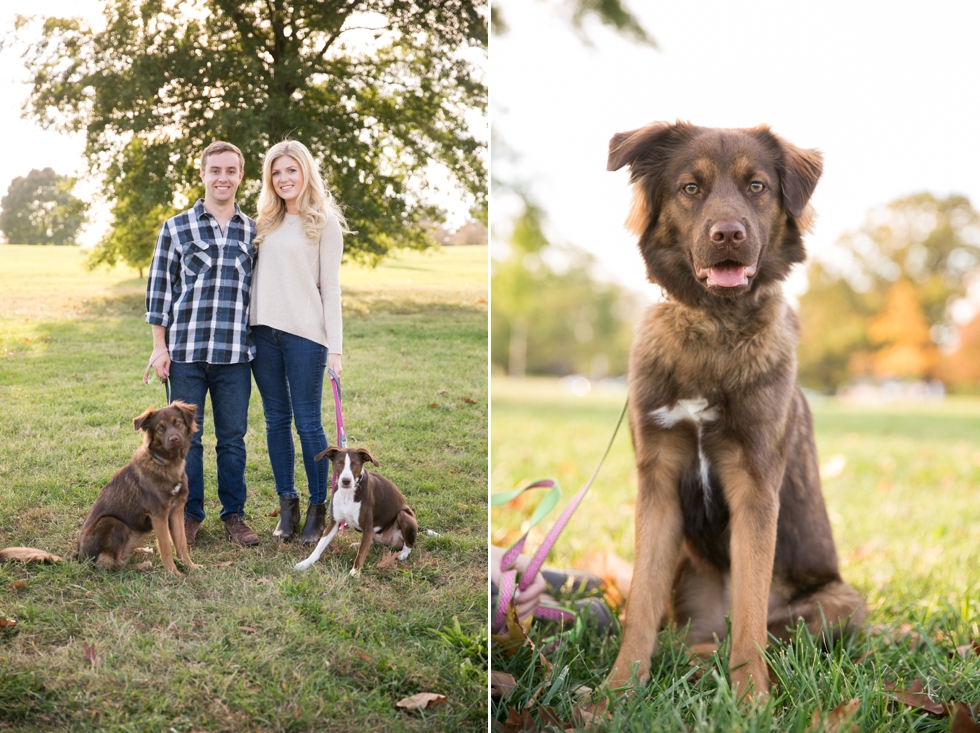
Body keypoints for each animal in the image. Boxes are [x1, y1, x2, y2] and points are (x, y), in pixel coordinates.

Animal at [292, 444, 420, 576]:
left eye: (356, 465)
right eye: (339, 463)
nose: (346, 481)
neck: (347, 494)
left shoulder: (368, 528)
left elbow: (361, 553)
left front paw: (355, 572)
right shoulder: (334, 523)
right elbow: (320, 545)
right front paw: (306, 562)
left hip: (404, 516)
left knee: (408, 544)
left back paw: (403, 554)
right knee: (370, 542)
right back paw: (357, 544)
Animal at [604, 121, 864, 696]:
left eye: (757, 186)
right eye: (691, 188)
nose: (728, 234)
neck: (713, 330)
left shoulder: (756, 482)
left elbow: (750, 612)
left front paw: (751, 698)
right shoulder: (658, 481)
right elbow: (640, 603)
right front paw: (618, 689)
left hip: (842, 603)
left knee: (776, 634)